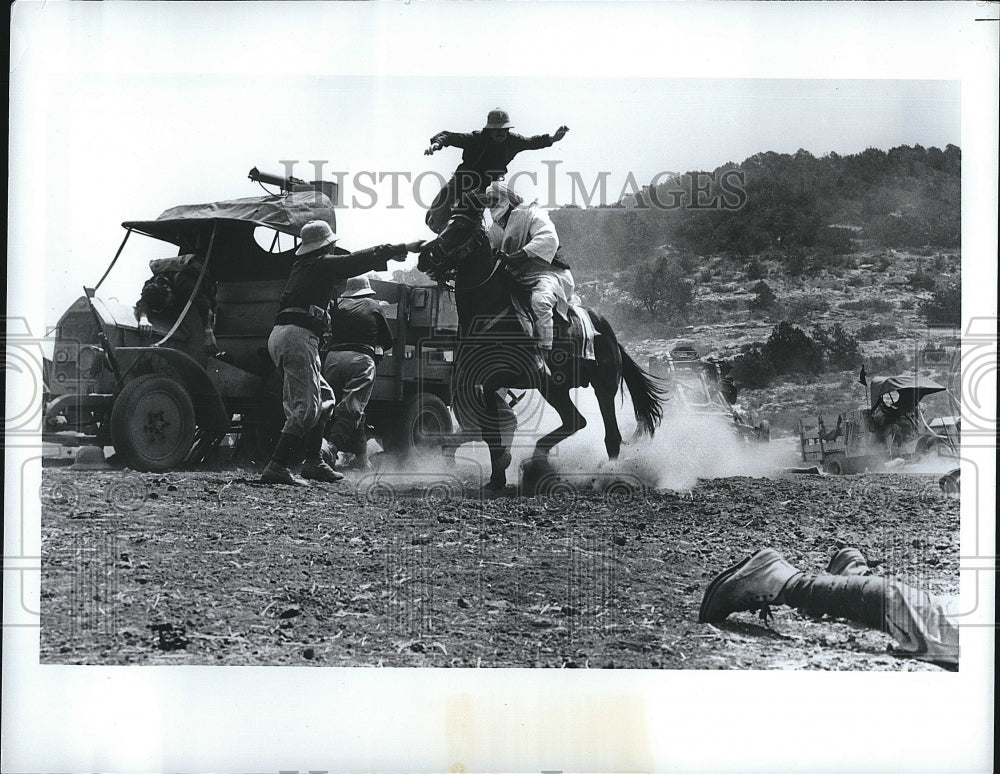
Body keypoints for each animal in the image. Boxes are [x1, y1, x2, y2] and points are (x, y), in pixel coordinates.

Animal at [414, 212, 664, 492]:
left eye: (459, 228)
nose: (424, 257)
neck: (492, 309)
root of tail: (608, 333)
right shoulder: (480, 380)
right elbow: (488, 426)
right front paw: (496, 476)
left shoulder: (516, 375)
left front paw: (503, 465)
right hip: (555, 388)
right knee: (575, 421)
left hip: (602, 386)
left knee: (608, 434)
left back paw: (602, 475)